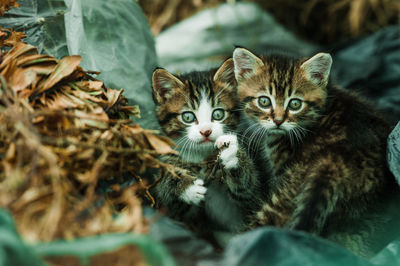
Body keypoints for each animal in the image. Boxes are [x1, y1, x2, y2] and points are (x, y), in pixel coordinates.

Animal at [152, 58, 260, 241]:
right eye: (188, 117)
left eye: (218, 114)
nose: (206, 131)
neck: (202, 157)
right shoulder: (179, 214)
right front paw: (187, 186)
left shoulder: (252, 201)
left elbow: (248, 190)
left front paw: (232, 155)